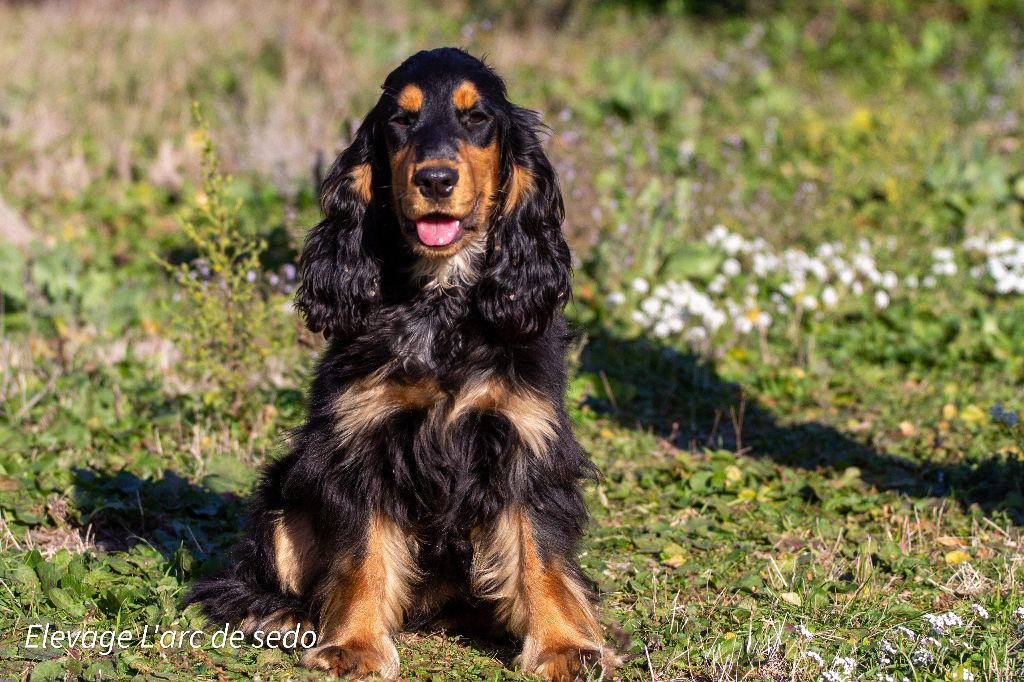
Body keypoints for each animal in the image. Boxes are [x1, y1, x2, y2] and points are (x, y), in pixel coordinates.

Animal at [190, 47, 614, 679]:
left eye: (476, 117)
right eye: (401, 120)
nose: (435, 178)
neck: (441, 302)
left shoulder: (524, 437)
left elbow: (540, 551)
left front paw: (564, 644)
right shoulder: (362, 440)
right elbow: (362, 552)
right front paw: (354, 645)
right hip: (284, 497)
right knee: (253, 574)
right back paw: (280, 614)